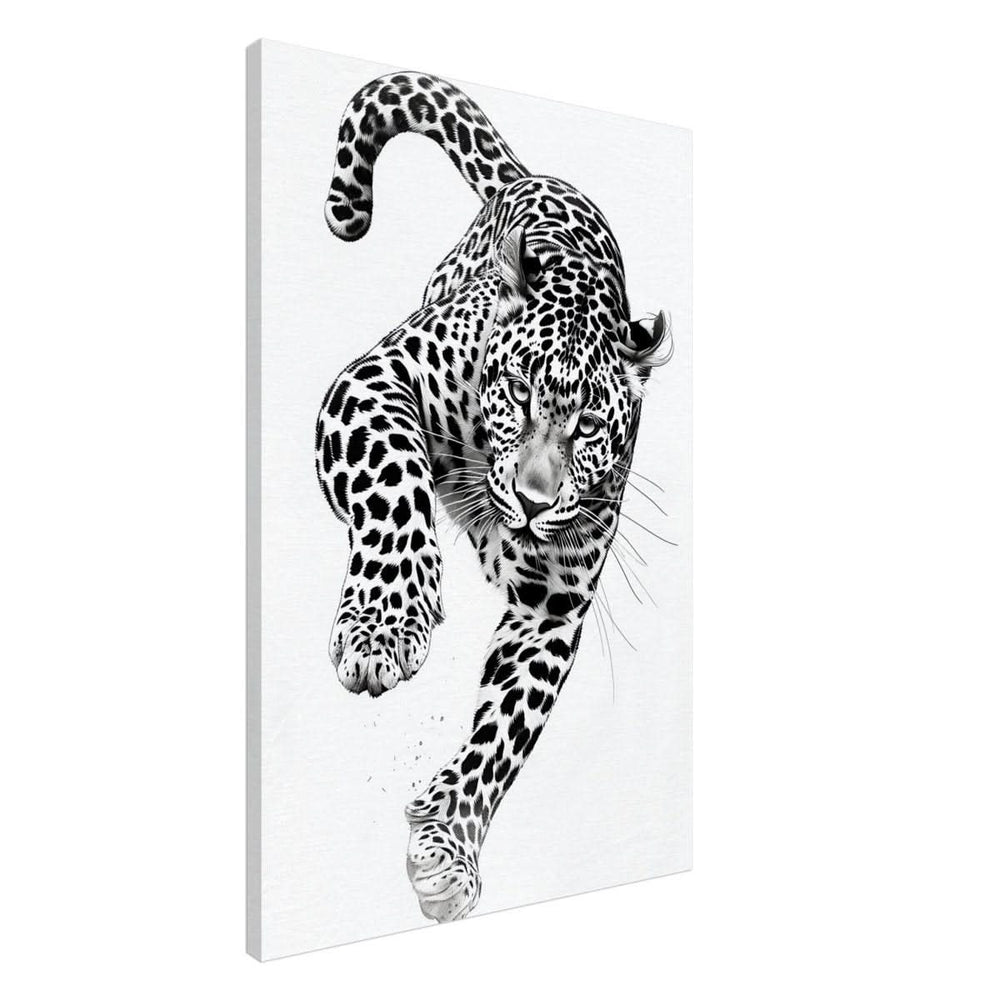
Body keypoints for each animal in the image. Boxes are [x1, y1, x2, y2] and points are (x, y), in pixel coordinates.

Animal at [315, 71, 673, 923]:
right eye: (515, 390)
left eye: (589, 426)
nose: (536, 501)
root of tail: (536, 176)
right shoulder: (374, 381)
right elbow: (394, 481)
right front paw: (385, 626)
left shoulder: (551, 605)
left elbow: (505, 731)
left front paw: (447, 843)